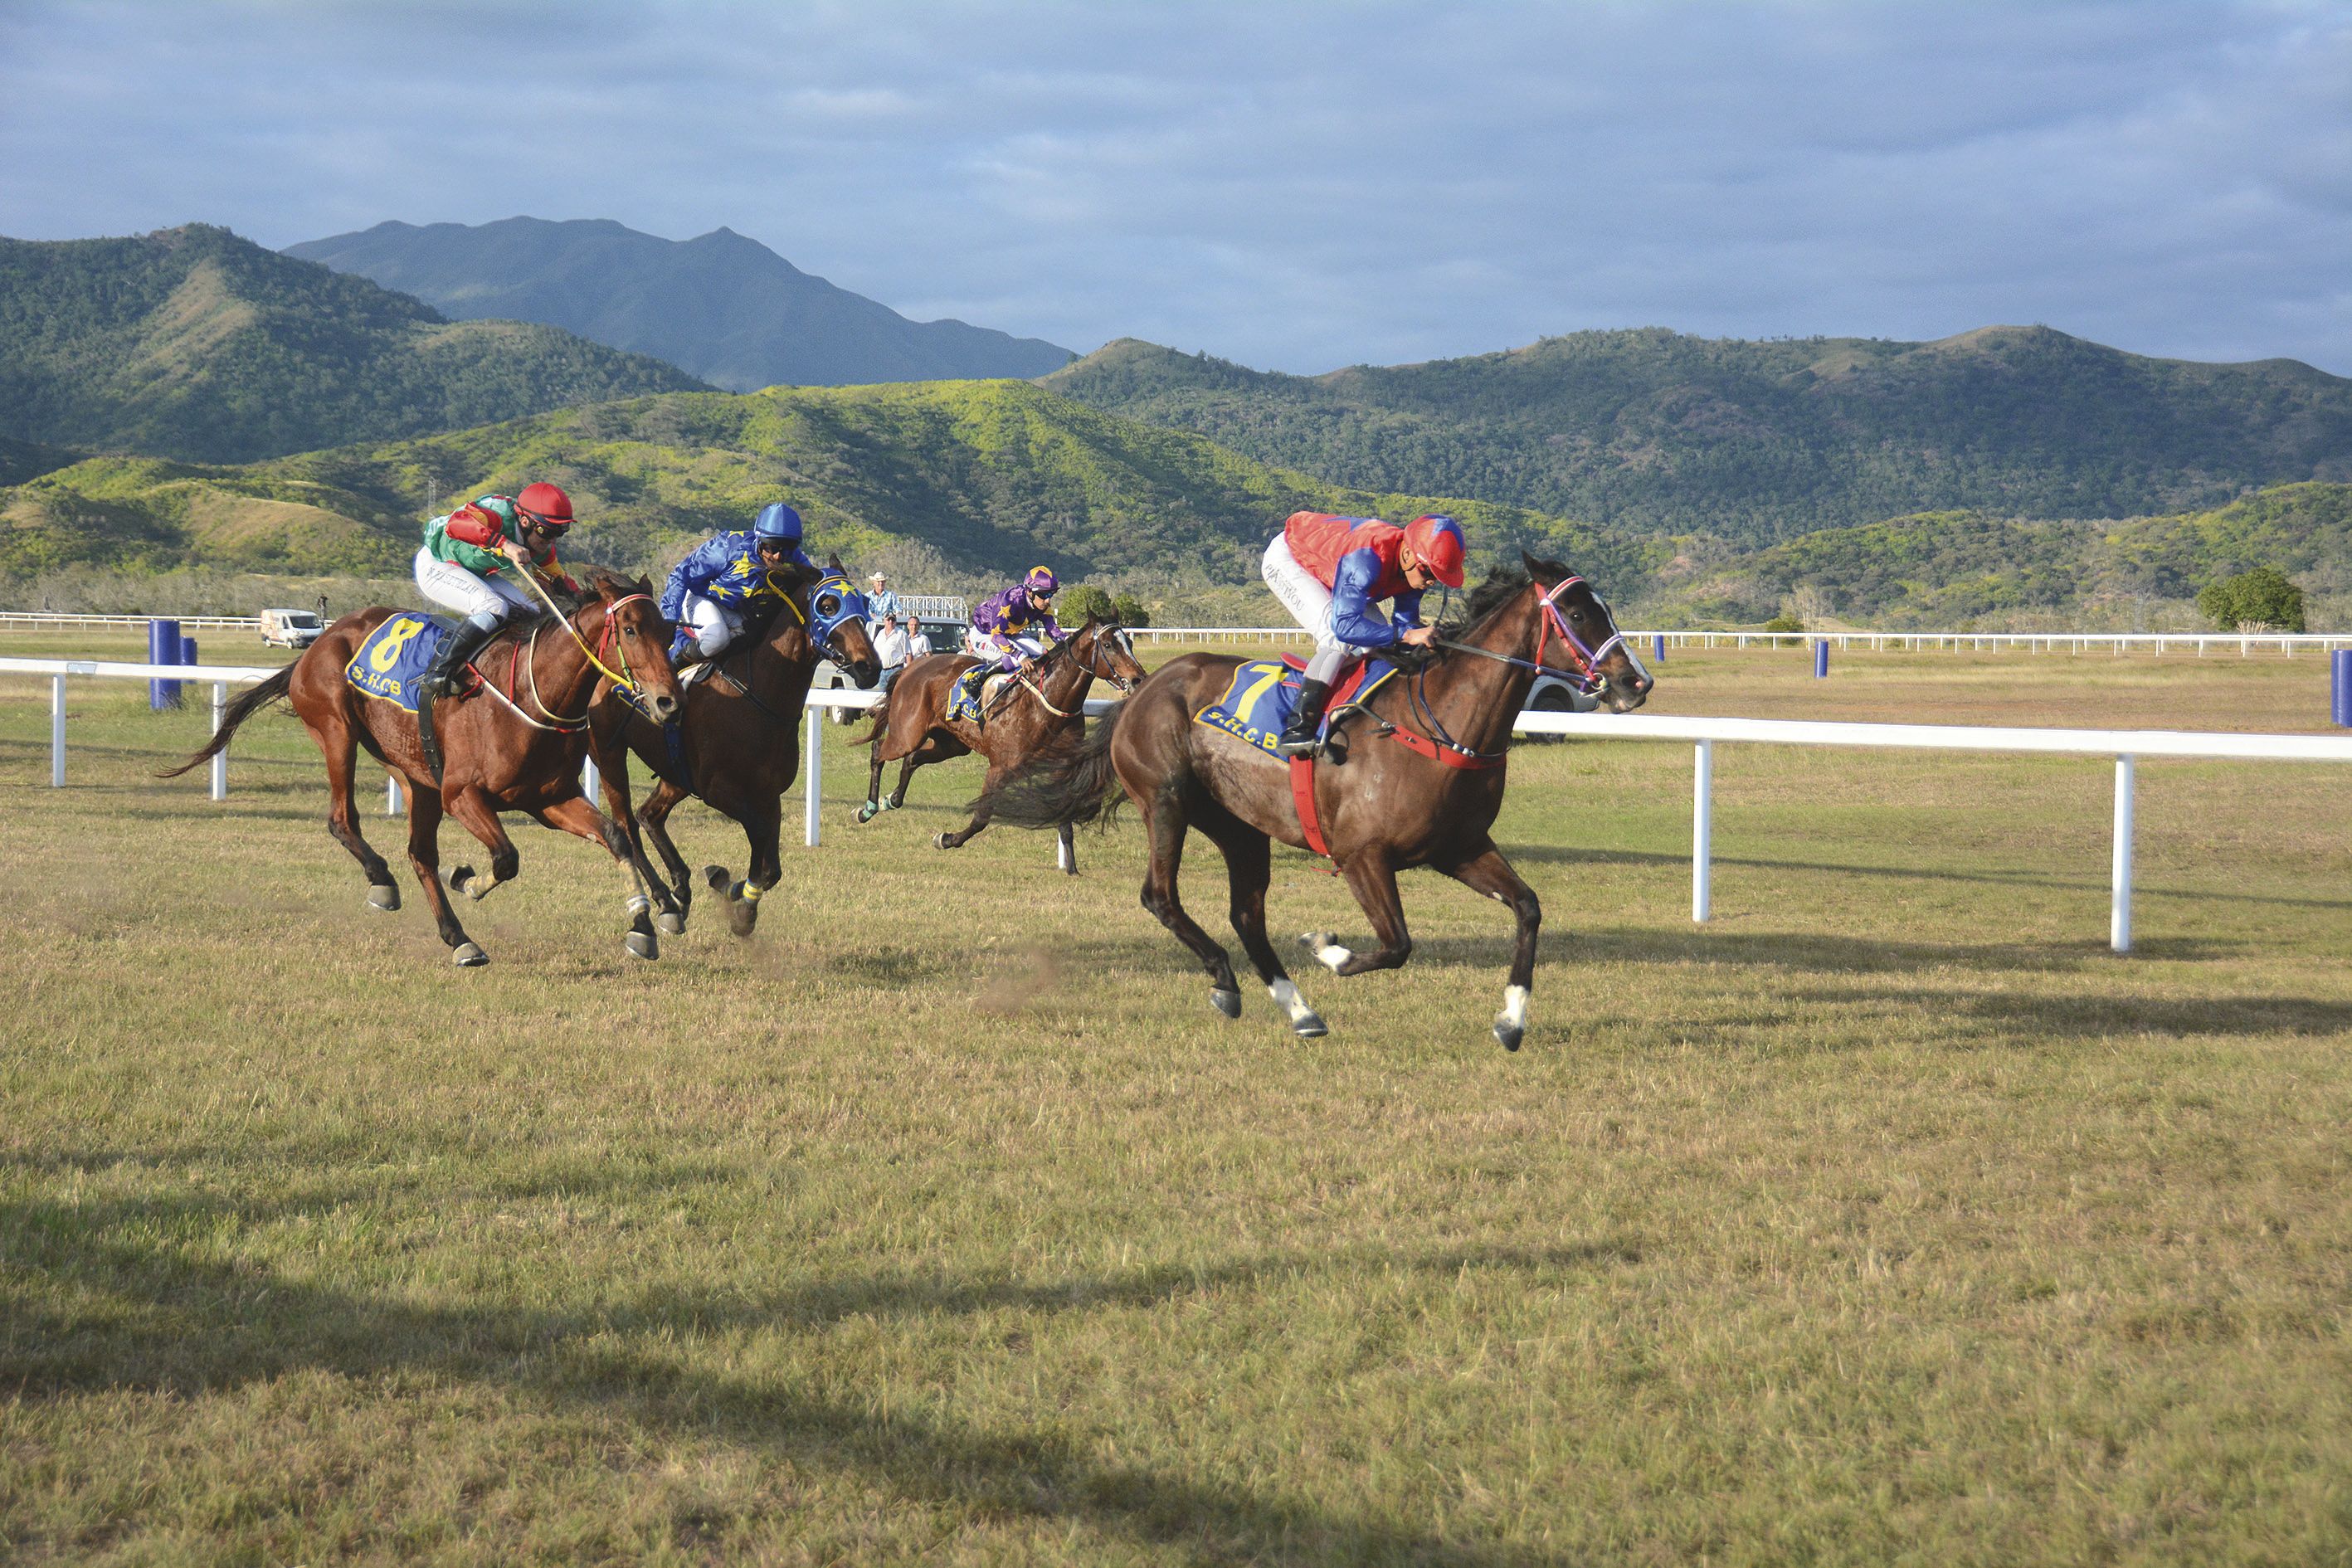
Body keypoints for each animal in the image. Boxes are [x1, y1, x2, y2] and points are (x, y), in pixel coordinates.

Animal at [163, 573, 682, 963]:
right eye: (631, 630)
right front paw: (468, 881)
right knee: (342, 819)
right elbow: (506, 858)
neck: (531, 693)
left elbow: (615, 836)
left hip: (414, 774)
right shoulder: (462, 794)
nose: (668, 702)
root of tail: (320, 639)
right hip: (338, 732)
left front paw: (643, 924)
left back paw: (460, 939)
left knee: (419, 854)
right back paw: (382, 881)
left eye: (670, 632)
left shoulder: (548, 798)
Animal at [587, 557, 884, 940]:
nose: (869, 668)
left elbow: (770, 868)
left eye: (862, 602)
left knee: (649, 814)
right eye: (828, 605)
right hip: (609, 754)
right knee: (627, 825)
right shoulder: (720, 791)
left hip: (676, 773)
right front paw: (737, 901)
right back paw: (667, 902)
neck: (757, 698)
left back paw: (681, 887)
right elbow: (760, 845)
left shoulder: (768, 795)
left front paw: (734, 893)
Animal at [855, 611, 1147, 879]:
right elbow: (982, 816)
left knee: (911, 760)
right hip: (907, 733)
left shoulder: (1062, 767)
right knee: (879, 751)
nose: (1138, 679)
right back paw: (868, 809)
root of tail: (912, 667)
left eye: (1129, 643)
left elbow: (1065, 815)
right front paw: (947, 839)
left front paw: (1072, 868)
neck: (1047, 702)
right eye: (1108, 645)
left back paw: (890, 800)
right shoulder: (1001, 767)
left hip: (951, 743)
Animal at [973, 554, 1655, 1053]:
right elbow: (1396, 945)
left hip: (1240, 824)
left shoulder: (1458, 847)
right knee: (1160, 897)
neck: (1441, 722)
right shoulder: (1361, 856)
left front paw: (1511, 1020)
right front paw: (1326, 947)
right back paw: (1226, 980)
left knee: (1246, 915)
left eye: (1603, 608)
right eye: (1575, 611)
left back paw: (1297, 1009)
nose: (1636, 682)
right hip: (1166, 801)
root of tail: (1143, 690)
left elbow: (1528, 909)